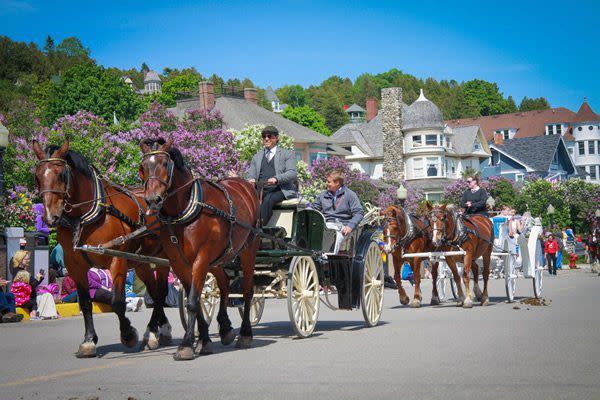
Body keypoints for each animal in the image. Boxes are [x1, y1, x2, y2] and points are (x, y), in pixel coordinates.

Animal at [31, 140, 171, 356]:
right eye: (37, 176)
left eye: (61, 175)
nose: (50, 216)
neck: (86, 216)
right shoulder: (75, 265)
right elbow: (85, 303)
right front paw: (89, 340)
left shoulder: (117, 259)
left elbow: (117, 301)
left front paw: (128, 334)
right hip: (141, 262)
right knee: (155, 293)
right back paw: (156, 331)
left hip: (164, 258)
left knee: (161, 292)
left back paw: (154, 332)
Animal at [138, 139, 260, 360]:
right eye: (142, 168)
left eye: (164, 164)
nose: (152, 200)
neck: (184, 207)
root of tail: (246, 185)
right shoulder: (179, 262)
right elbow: (194, 297)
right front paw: (204, 340)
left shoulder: (201, 258)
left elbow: (194, 301)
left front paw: (186, 344)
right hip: (219, 258)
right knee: (224, 284)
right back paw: (225, 327)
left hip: (249, 249)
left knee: (247, 290)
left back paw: (245, 333)